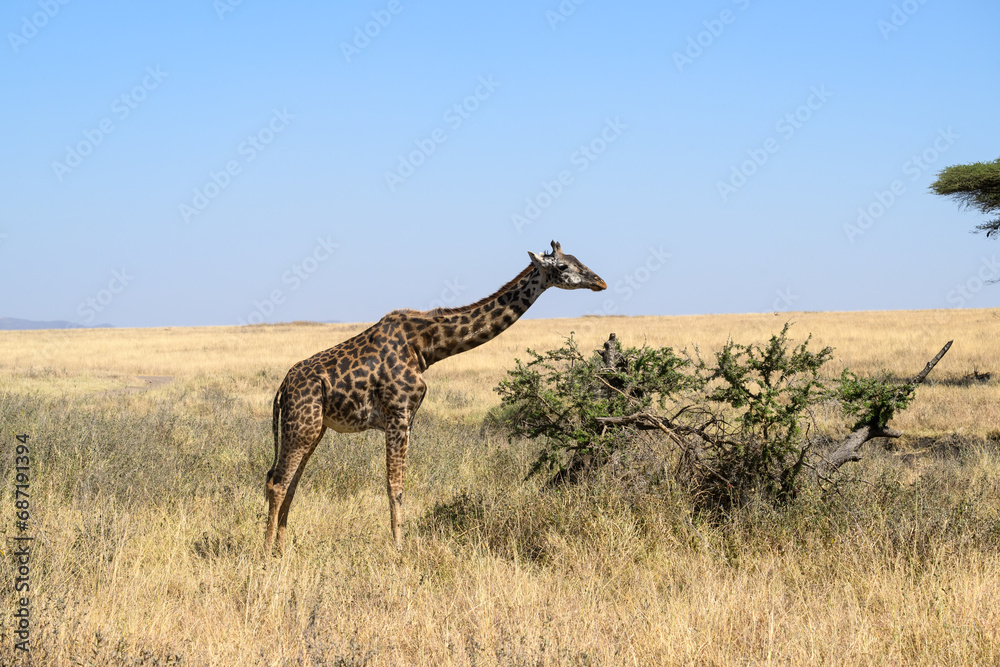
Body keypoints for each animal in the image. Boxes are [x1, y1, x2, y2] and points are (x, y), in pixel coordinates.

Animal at [264, 240, 606, 552]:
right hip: (302, 424)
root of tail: (282, 388)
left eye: (578, 259)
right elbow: (396, 487)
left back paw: (282, 547)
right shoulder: (398, 415)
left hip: (314, 427)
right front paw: (399, 550)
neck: (427, 347)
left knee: (289, 482)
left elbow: (398, 484)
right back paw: (267, 552)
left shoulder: (408, 419)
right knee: (277, 482)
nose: (599, 281)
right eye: (563, 266)